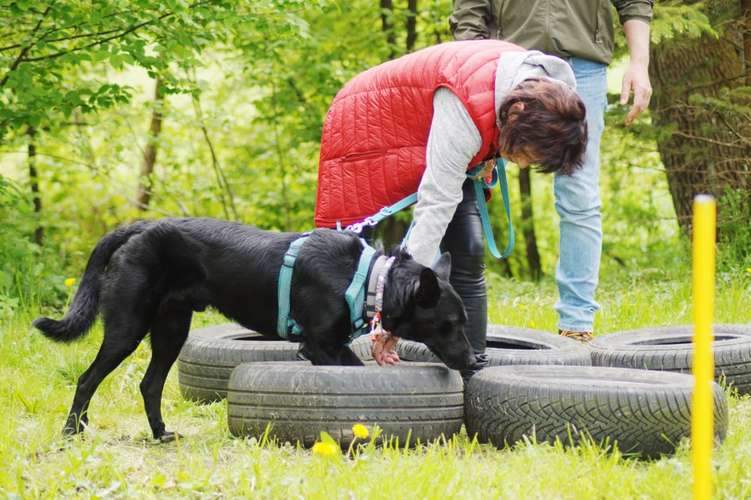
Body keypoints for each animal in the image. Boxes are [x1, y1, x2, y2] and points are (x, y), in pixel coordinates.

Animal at [33, 219, 482, 442]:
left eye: (463, 322)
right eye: (448, 324)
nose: (476, 361)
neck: (369, 279)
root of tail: (139, 227)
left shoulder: (332, 347)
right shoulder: (320, 347)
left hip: (171, 329)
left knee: (149, 384)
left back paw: (160, 433)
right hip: (128, 327)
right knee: (88, 377)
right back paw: (72, 430)